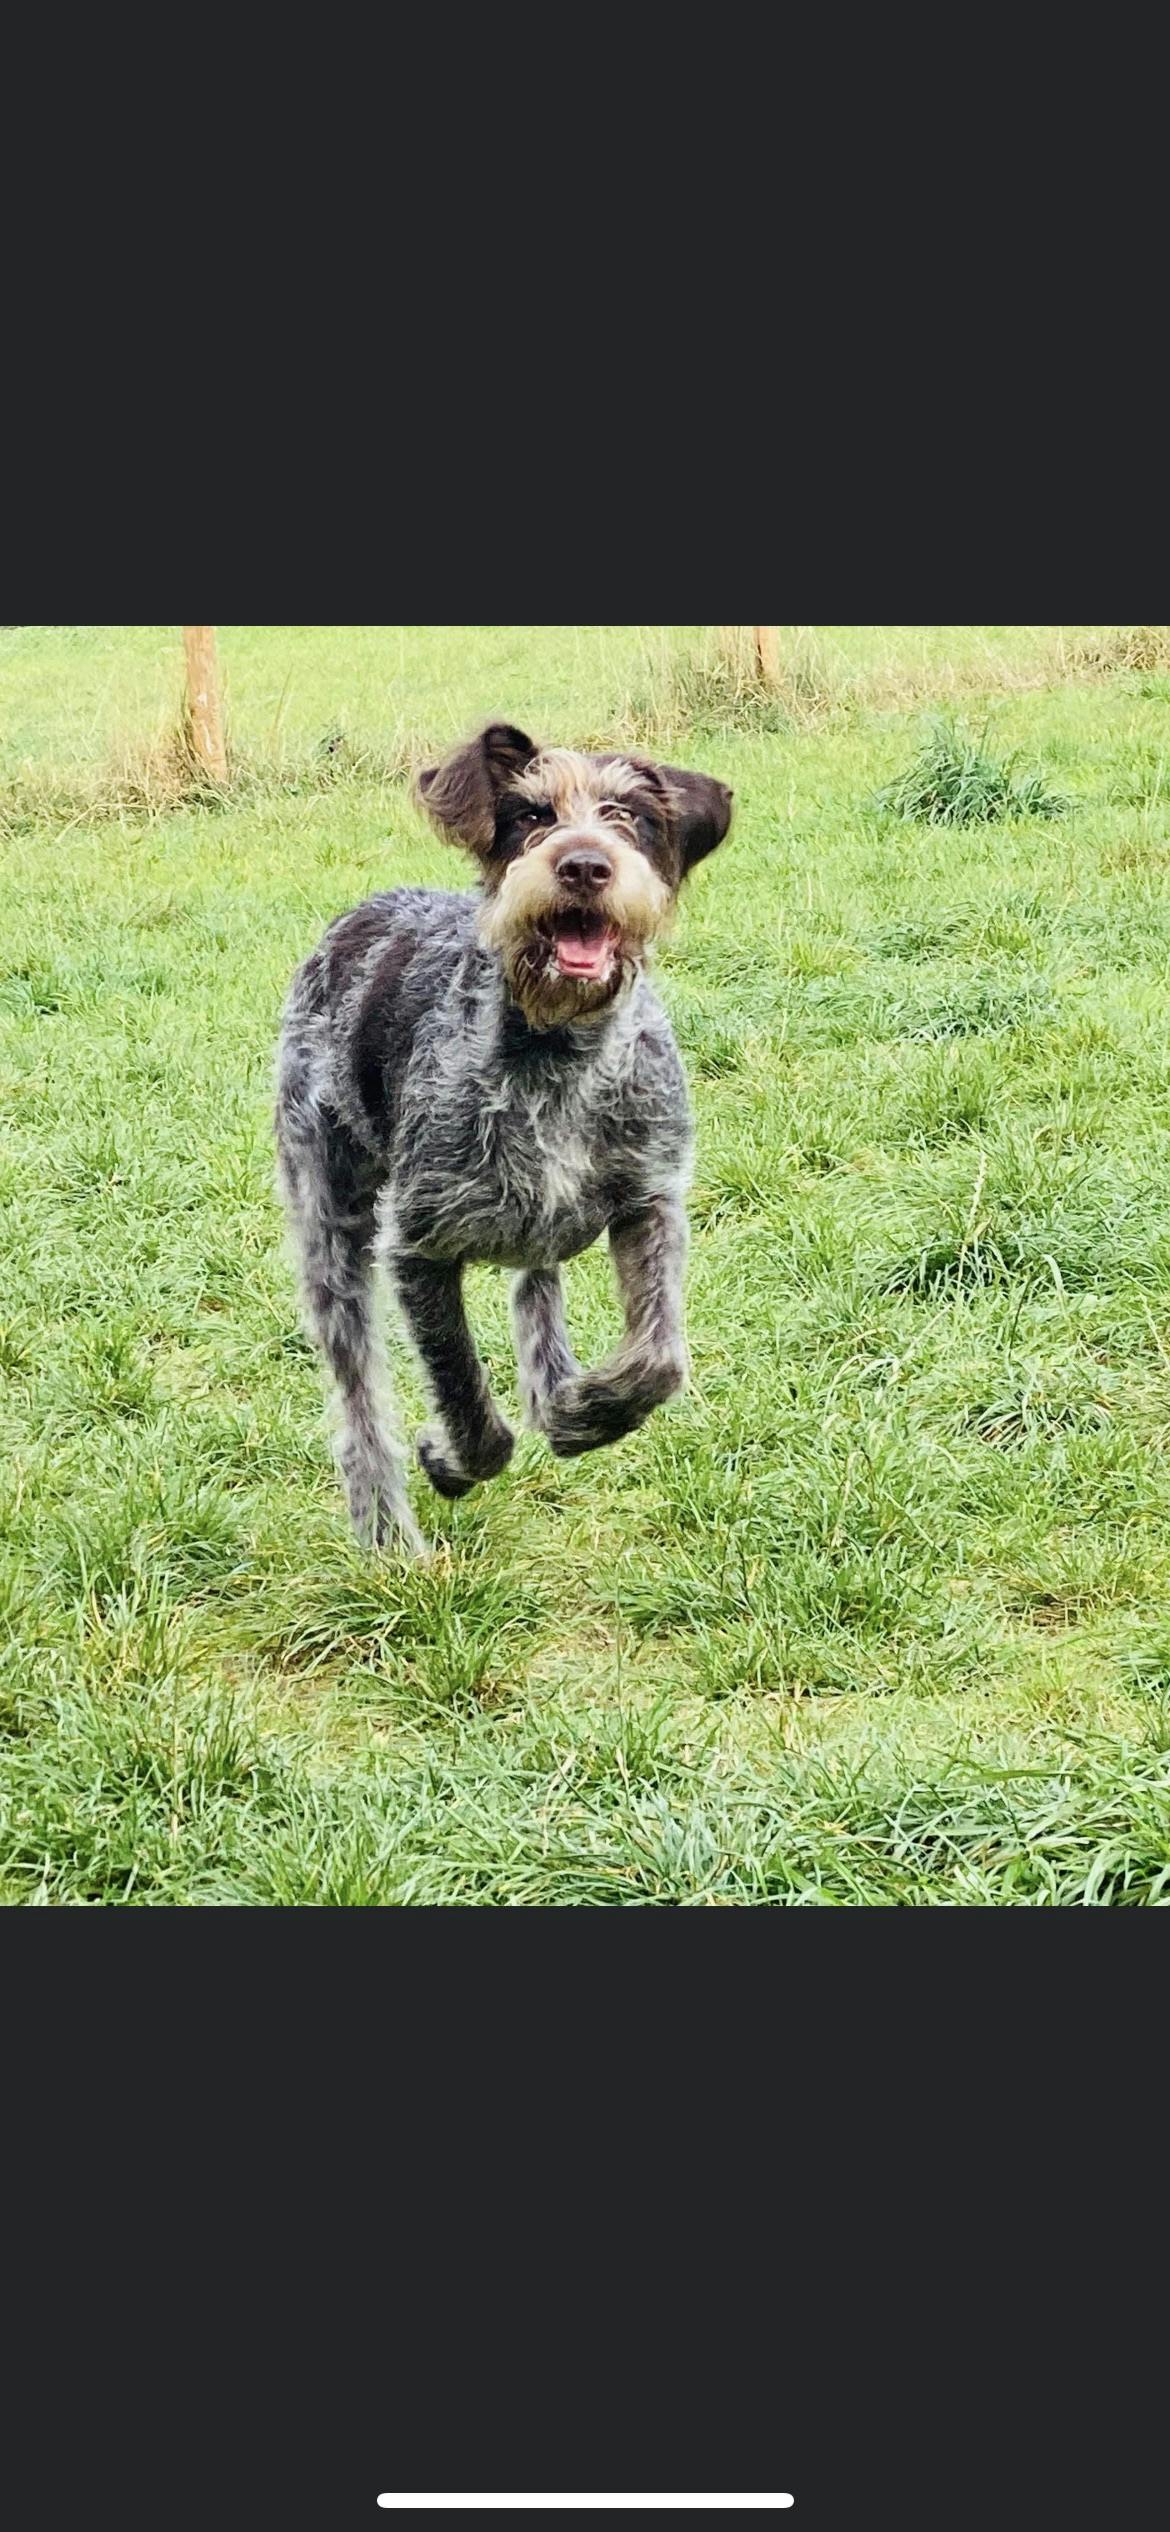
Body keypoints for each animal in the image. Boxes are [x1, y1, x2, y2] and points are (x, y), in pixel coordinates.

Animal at [274, 714, 729, 1539]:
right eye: (532, 816)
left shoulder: (651, 1199)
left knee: (535, 1295)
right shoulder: (417, 1248)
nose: (584, 866)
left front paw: (583, 1410)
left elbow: (657, 1359)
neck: (561, 1052)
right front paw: (449, 1458)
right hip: (330, 1220)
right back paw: (385, 1531)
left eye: (625, 816)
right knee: (358, 1396)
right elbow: (467, 1401)